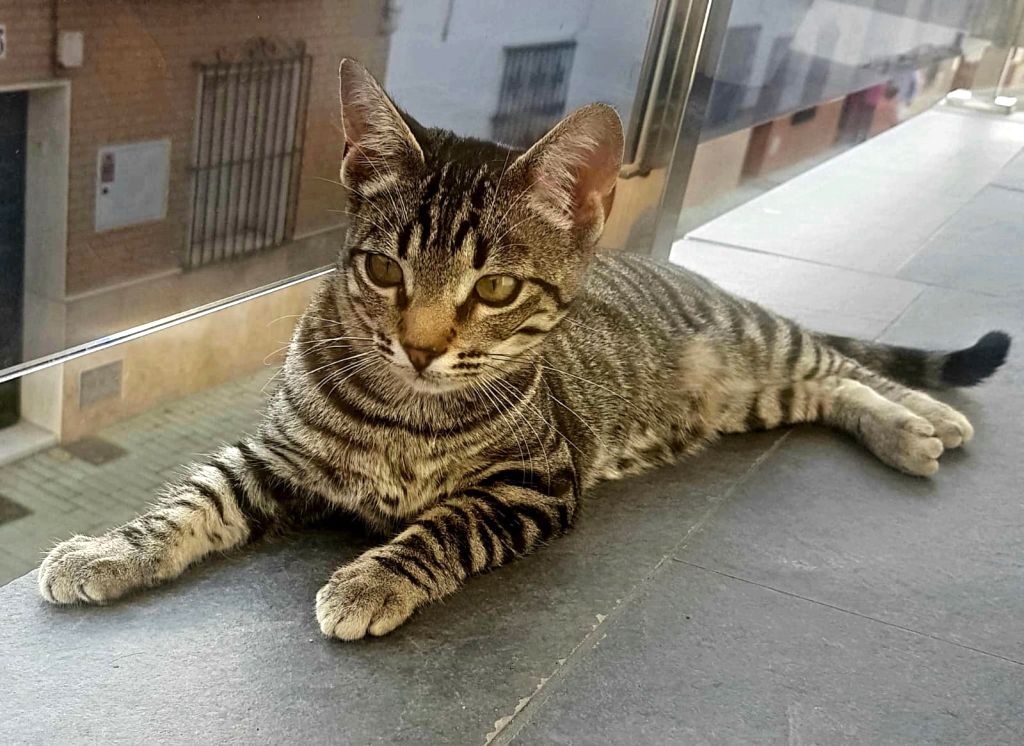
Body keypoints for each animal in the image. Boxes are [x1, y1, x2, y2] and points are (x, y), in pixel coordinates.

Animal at [38, 60, 1010, 640]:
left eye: (497, 290)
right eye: (384, 270)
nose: (420, 347)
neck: (407, 410)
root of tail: (687, 271)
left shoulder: (537, 480)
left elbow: (443, 526)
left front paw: (372, 580)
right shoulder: (275, 454)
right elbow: (193, 499)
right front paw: (108, 550)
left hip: (756, 345)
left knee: (845, 364)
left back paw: (925, 419)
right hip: (750, 395)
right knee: (831, 387)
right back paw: (911, 427)